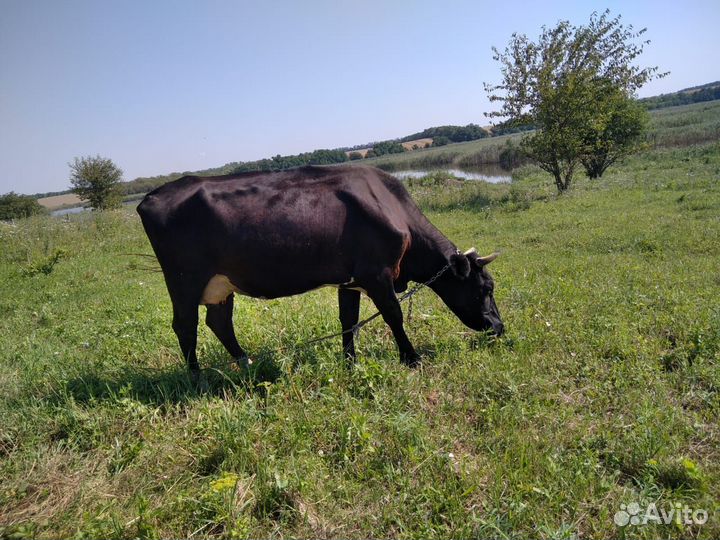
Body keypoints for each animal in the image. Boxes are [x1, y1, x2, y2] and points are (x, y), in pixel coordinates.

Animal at [137, 165, 503, 374]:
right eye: (485, 289)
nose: (498, 327)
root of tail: (152, 196)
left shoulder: (351, 280)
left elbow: (349, 321)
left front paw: (350, 362)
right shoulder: (377, 274)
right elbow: (393, 315)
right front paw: (411, 358)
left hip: (220, 284)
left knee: (219, 322)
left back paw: (245, 364)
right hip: (184, 280)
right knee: (186, 326)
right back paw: (196, 377)